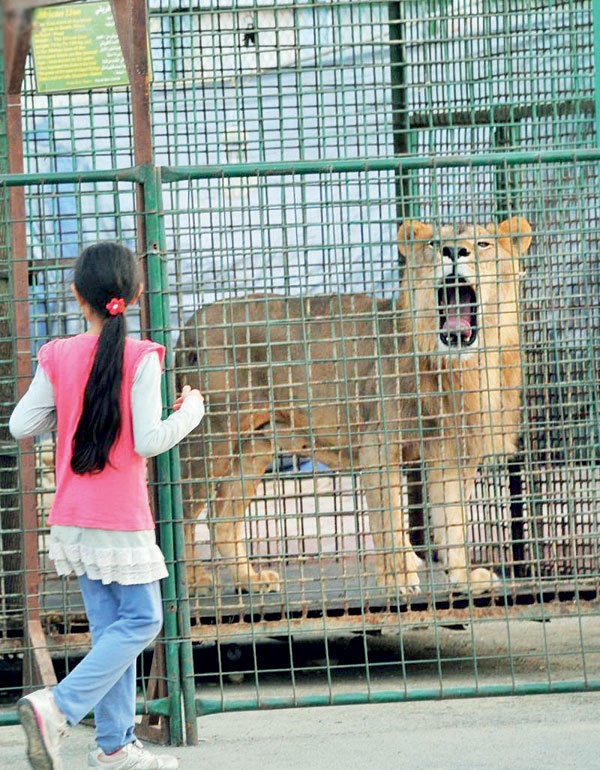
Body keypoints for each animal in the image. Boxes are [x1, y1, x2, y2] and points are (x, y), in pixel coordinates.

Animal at [176, 214, 532, 592]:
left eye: (483, 244)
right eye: (433, 245)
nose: (453, 252)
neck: (463, 366)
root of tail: (188, 326)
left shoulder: (451, 451)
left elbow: (451, 520)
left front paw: (464, 578)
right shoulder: (379, 445)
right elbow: (390, 520)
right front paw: (399, 578)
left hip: (255, 446)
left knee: (221, 517)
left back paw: (251, 579)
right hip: (211, 440)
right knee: (179, 510)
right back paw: (192, 582)